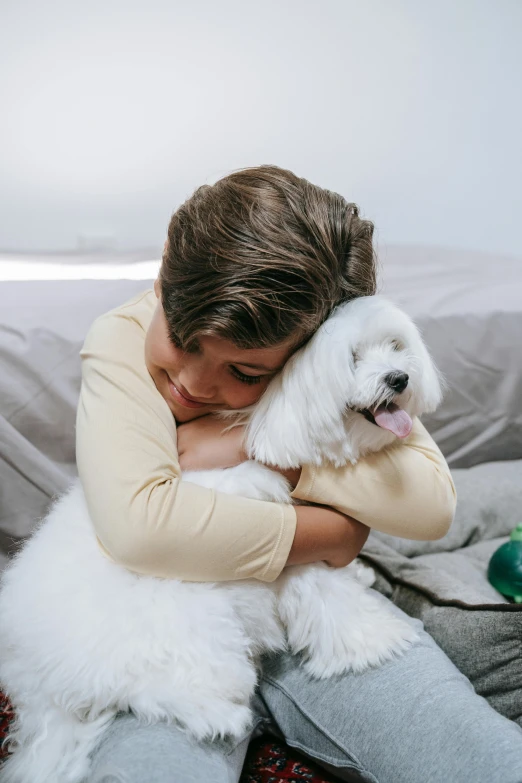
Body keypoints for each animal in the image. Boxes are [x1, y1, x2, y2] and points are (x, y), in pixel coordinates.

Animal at [0, 296, 440, 783]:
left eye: (395, 346)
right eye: (353, 358)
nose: (399, 377)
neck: (272, 418)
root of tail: (39, 687)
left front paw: (361, 584)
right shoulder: (287, 542)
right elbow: (325, 593)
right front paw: (373, 641)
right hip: (187, 625)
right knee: (148, 688)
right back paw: (218, 714)